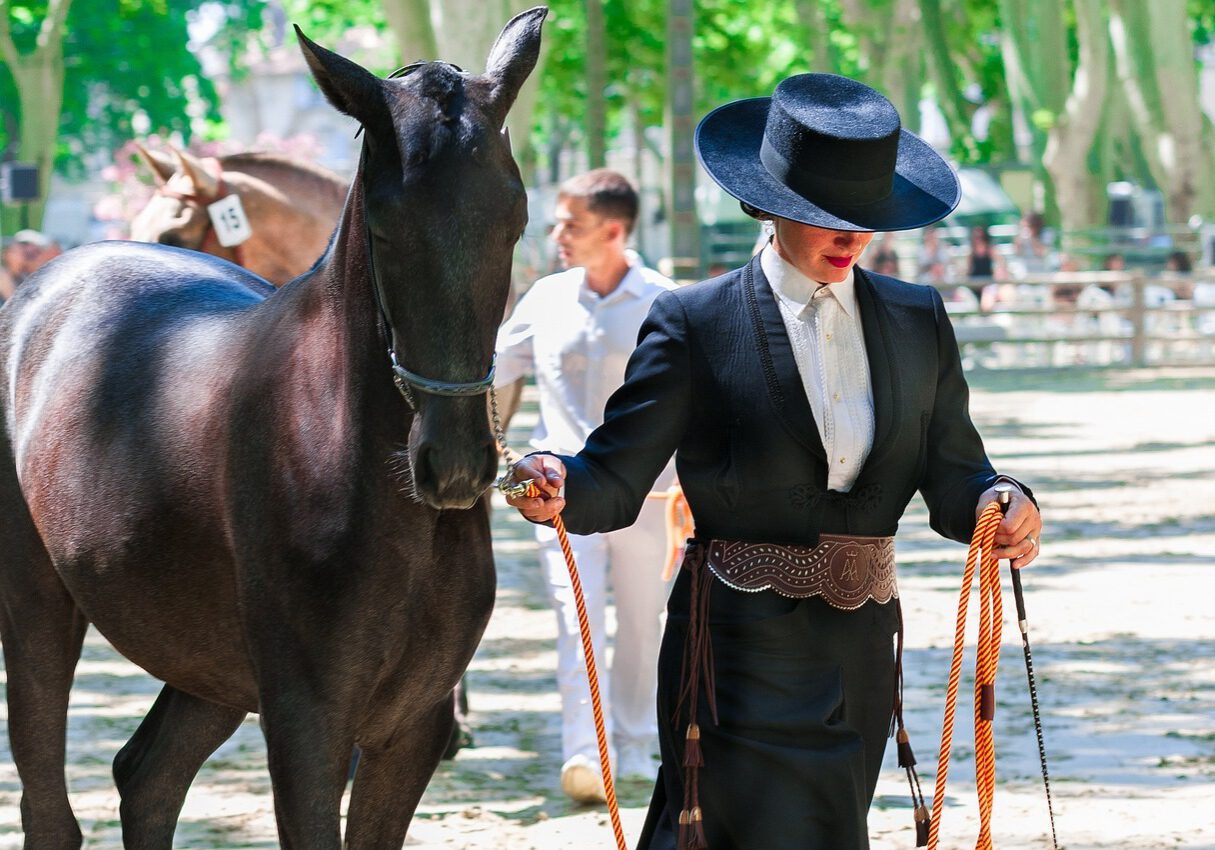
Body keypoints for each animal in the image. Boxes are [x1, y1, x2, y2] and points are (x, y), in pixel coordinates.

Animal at [0, 8, 544, 850]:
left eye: (513, 215)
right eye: (384, 224)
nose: (452, 465)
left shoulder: (407, 730)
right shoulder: (306, 725)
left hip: (204, 661)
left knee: (147, 778)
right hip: (35, 610)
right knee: (51, 808)